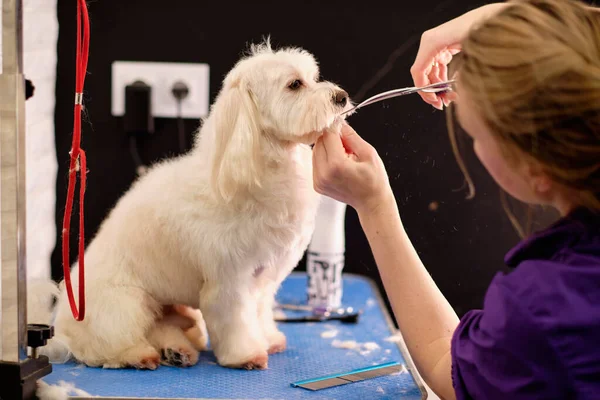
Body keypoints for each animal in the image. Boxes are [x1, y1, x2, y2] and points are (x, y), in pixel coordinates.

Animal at [41, 39, 352, 370]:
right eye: (294, 84)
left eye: (314, 77)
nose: (341, 96)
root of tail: (62, 328)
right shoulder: (229, 280)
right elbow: (235, 319)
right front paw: (246, 354)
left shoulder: (263, 279)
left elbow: (258, 312)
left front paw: (268, 339)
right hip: (124, 304)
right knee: (110, 342)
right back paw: (139, 354)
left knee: (163, 327)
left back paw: (178, 351)